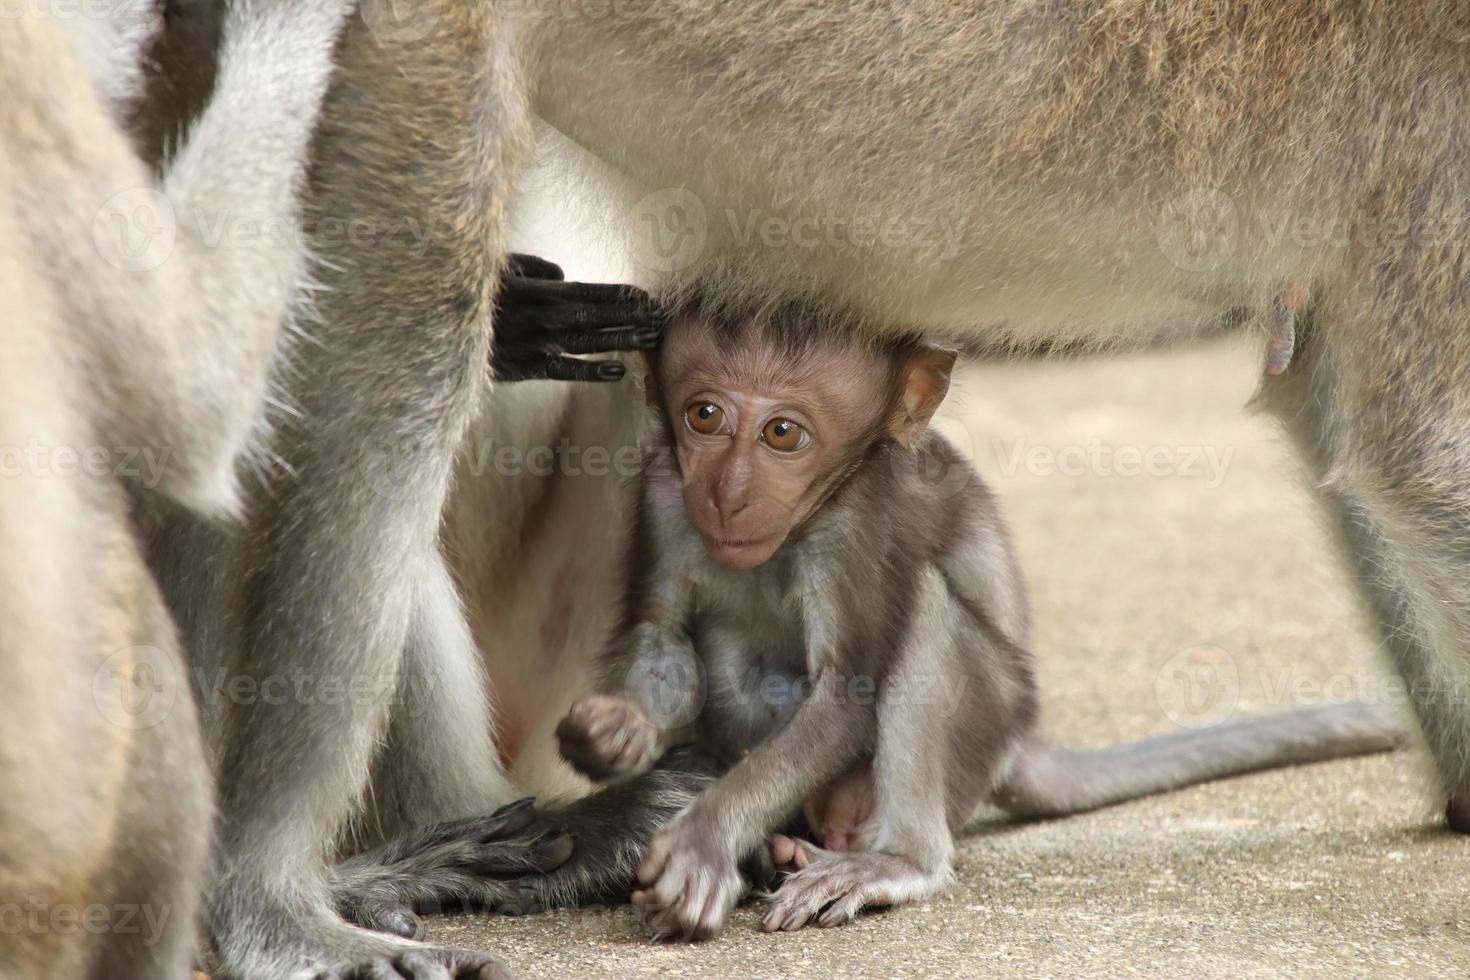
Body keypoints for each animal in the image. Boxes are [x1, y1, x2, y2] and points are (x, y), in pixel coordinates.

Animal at [555, 301, 1405, 940]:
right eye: (704, 415)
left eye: (782, 433)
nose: (728, 493)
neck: (799, 523)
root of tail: (1020, 742)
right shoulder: (665, 493)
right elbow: (663, 638)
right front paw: (614, 733)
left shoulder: (858, 524)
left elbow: (848, 695)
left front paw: (702, 841)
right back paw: (783, 843)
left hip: (983, 724)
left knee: (927, 613)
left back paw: (896, 860)